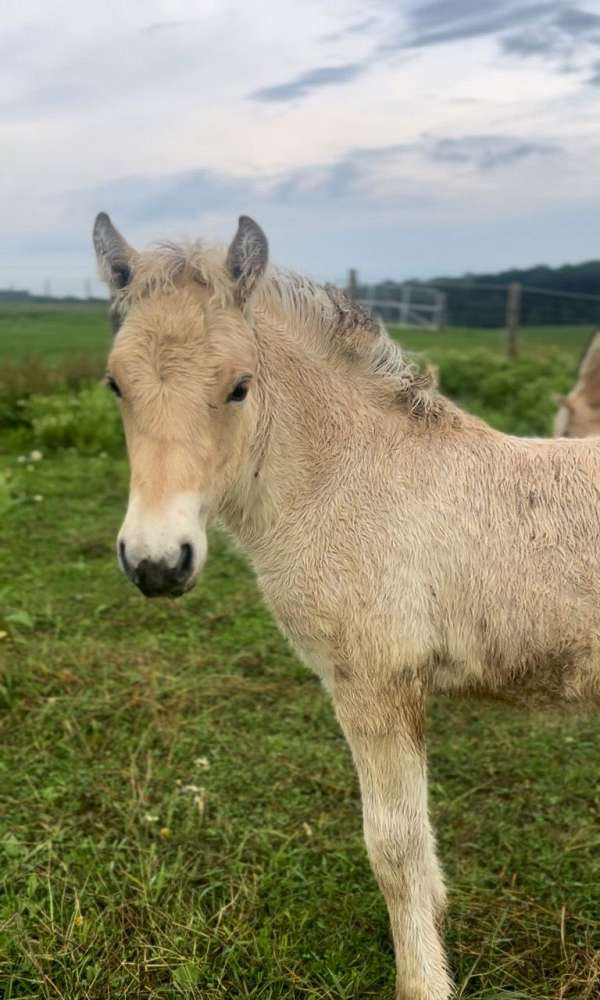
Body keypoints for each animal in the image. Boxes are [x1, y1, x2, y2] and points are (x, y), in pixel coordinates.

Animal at [93, 212, 600, 1000]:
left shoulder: (377, 682)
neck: (355, 479)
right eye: (116, 383)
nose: (156, 563)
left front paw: (423, 981)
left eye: (239, 387)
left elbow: (393, 846)